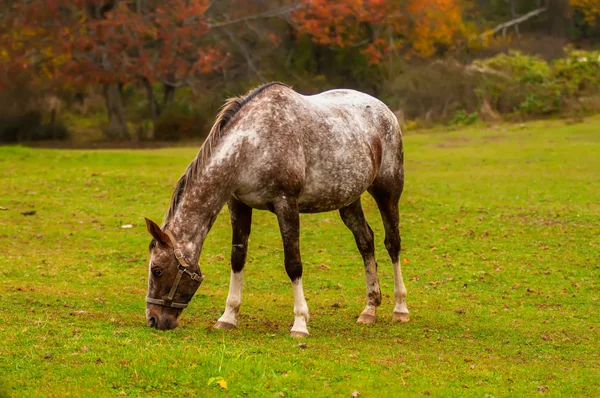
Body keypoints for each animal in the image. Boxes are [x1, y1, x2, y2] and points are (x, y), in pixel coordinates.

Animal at [143, 81, 410, 336]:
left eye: (157, 270)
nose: (153, 320)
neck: (251, 144)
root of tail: (385, 111)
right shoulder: (238, 204)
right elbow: (237, 258)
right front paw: (228, 317)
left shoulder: (286, 203)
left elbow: (293, 263)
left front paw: (300, 323)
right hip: (348, 200)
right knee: (366, 241)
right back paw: (370, 309)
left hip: (387, 192)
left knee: (392, 243)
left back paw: (400, 308)